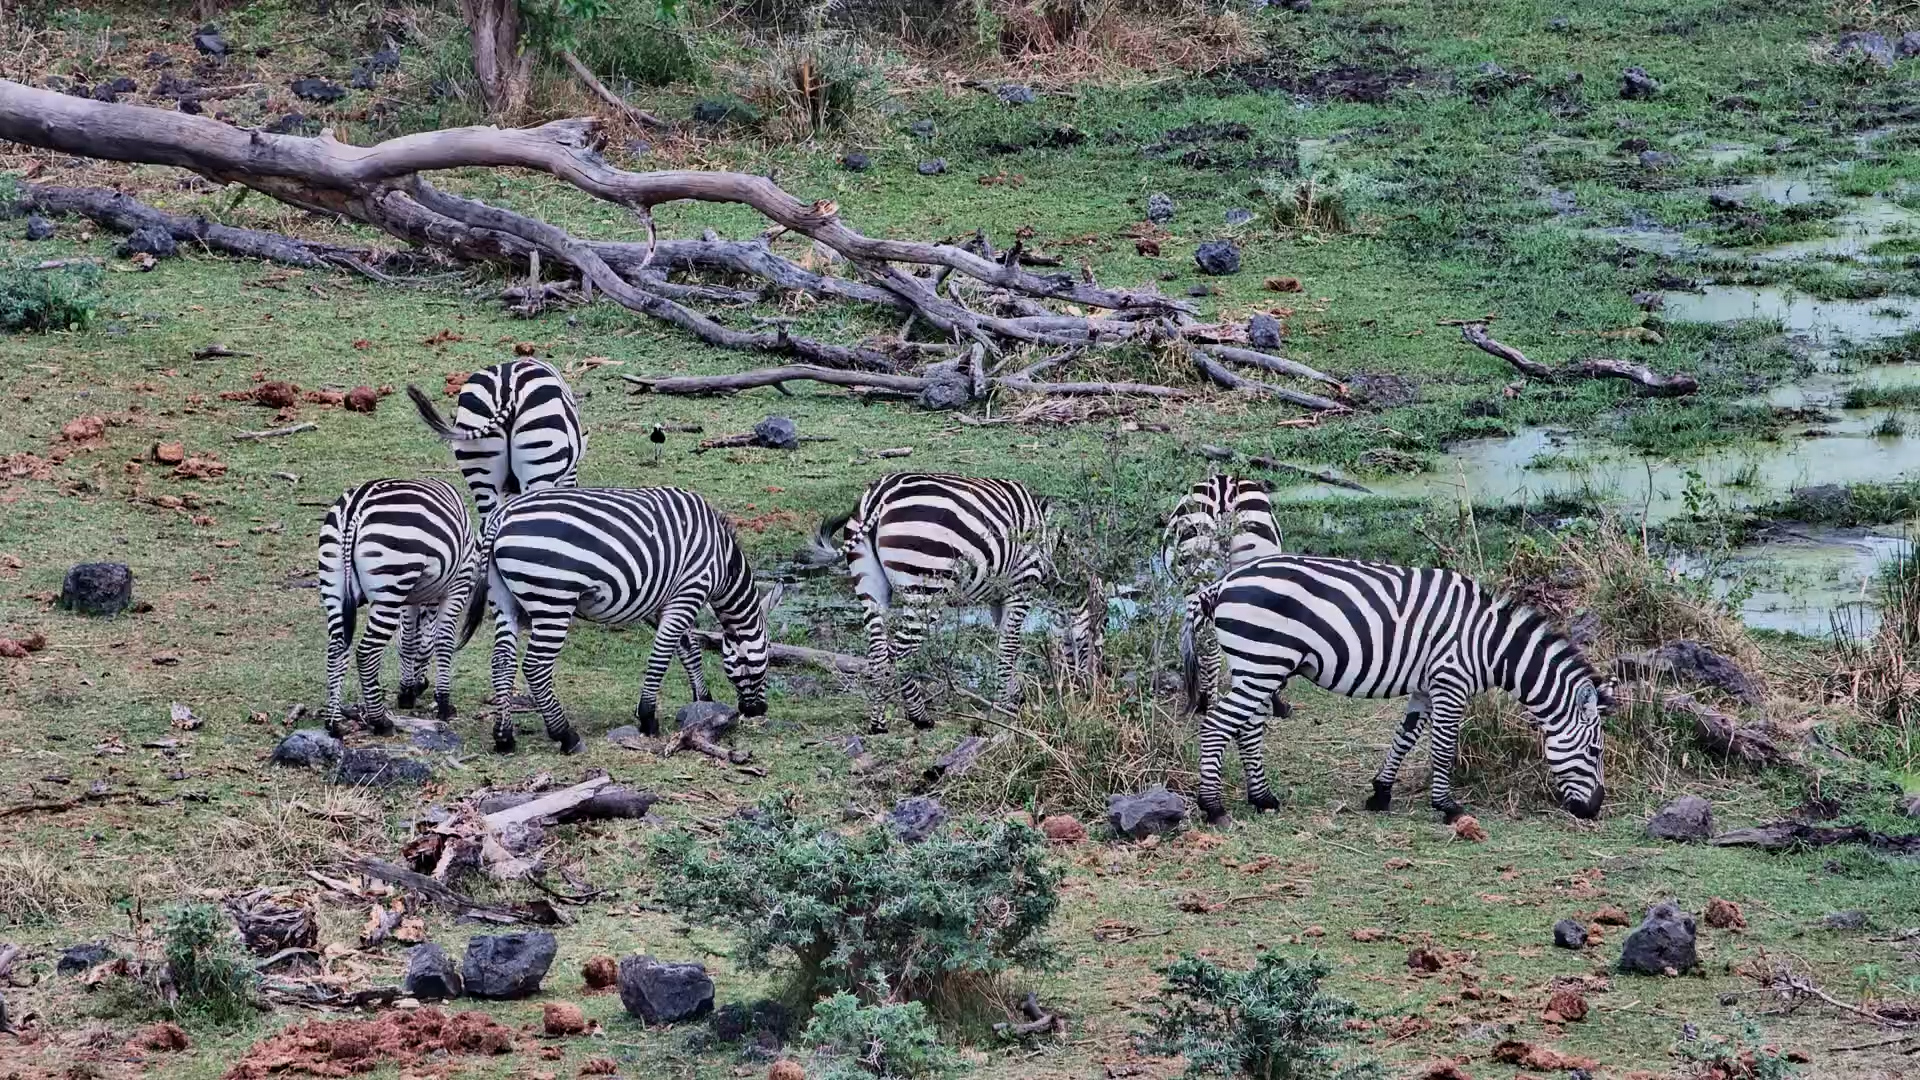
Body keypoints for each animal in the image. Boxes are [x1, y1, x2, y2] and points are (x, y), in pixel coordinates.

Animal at [317, 478, 478, 737]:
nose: (422, 687)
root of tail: (355, 506)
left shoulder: (410, 599)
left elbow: (409, 642)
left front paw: (407, 692)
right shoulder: (458, 586)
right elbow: (441, 642)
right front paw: (443, 704)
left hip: (334, 586)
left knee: (336, 649)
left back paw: (334, 723)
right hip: (391, 586)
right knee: (366, 652)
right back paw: (380, 721)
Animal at [460, 487, 779, 754]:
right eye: (763, 659)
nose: (758, 711)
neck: (723, 560)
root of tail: (501, 516)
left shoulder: (662, 601)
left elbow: (687, 649)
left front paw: (703, 701)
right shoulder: (689, 591)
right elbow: (663, 654)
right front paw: (648, 718)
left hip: (503, 598)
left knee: (502, 661)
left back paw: (504, 737)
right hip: (553, 598)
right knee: (535, 665)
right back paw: (566, 736)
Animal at [807, 473, 1102, 733]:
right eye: (1100, 631)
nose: (1095, 686)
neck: (1052, 551)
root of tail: (879, 498)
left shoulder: (998, 596)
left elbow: (1002, 644)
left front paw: (1011, 695)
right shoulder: (1021, 587)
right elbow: (1010, 646)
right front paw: (1008, 706)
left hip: (870, 585)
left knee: (878, 653)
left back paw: (878, 724)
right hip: (925, 587)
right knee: (900, 653)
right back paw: (919, 717)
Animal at [1179, 554, 1610, 825]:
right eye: (1595, 751)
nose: (1594, 809)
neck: (1487, 644)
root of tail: (1223, 583)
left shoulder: (1425, 687)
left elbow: (1405, 737)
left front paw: (1381, 793)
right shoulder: (1451, 682)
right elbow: (1443, 747)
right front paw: (1448, 806)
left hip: (1256, 665)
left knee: (1247, 726)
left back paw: (1263, 798)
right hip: (1263, 662)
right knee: (1217, 725)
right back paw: (1213, 807)